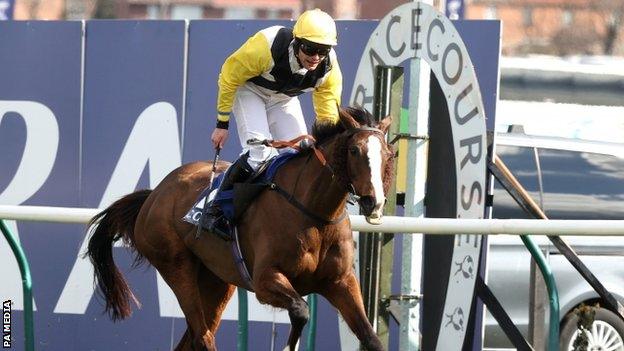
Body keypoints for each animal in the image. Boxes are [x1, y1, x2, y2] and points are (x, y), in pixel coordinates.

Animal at [86, 107, 394, 351]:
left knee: (192, 339)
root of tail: (155, 194)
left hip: (217, 281)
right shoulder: (265, 280)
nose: (374, 202)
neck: (314, 214)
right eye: (354, 150)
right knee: (203, 338)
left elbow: (371, 338)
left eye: (388, 154)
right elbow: (301, 310)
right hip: (175, 265)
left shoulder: (340, 282)